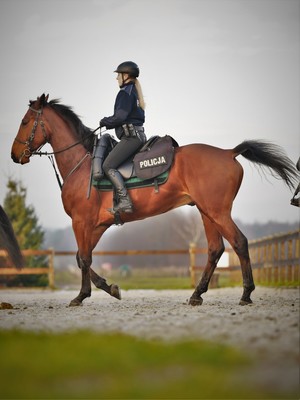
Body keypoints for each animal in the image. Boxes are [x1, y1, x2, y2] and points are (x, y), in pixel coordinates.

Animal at [10, 94, 296, 306]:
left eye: (24, 121)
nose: (14, 155)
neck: (82, 165)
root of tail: (228, 153)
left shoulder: (82, 222)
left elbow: (84, 258)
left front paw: (81, 296)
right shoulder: (97, 225)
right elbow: (84, 258)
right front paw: (110, 288)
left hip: (217, 212)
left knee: (239, 243)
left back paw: (246, 293)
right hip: (207, 213)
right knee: (215, 250)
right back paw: (197, 295)